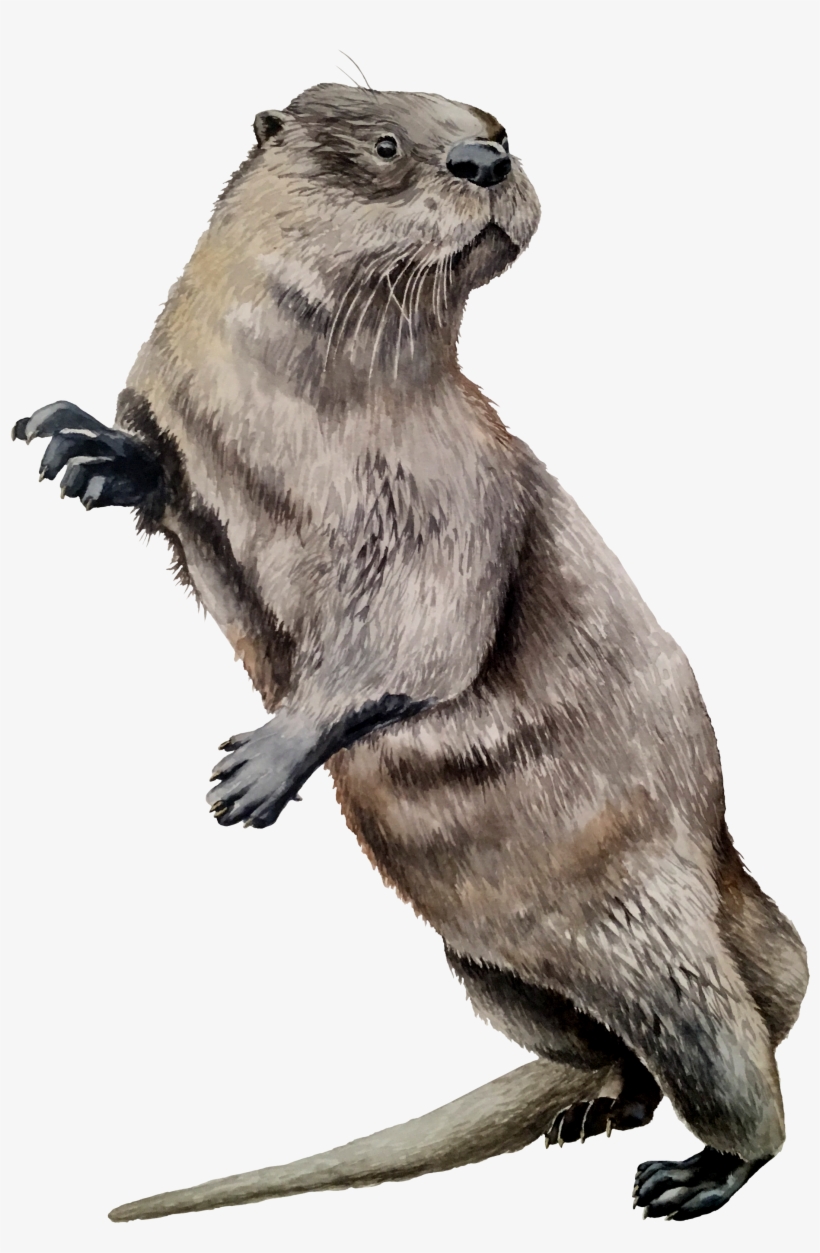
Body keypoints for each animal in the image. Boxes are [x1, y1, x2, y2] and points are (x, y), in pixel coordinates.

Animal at [12, 83, 807, 1224]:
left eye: (494, 126)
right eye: (388, 143)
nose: (485, 159)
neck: (288, 424)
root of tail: (722, 864)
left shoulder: (458, 490)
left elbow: (421, 636)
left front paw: (260, 765)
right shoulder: (203, 440)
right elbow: (188, 519)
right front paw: (93, 450)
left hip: (651, 920)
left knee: (722, 1037)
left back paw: (700, 1168)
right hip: (483, 970)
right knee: (612, 1041)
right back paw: (595, 1102)